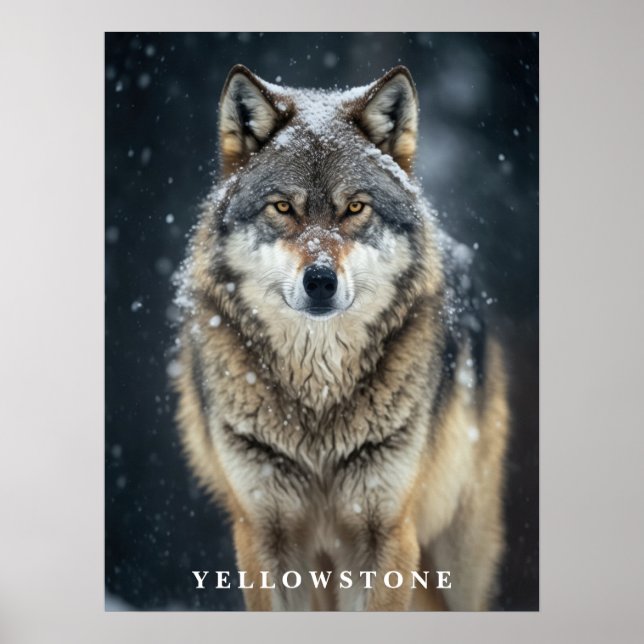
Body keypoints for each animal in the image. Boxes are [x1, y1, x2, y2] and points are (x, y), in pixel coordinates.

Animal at [173, 64, 509, 611]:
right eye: (282, 207)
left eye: (354, 208)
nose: (320, 281)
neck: (318, 400)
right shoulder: (263, 533)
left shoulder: (387, 532)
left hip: (457, 558)